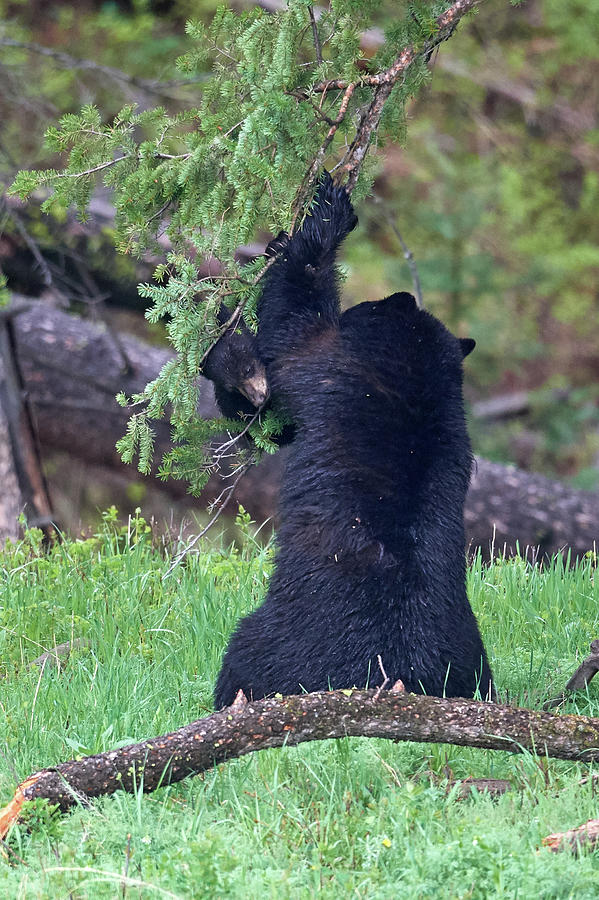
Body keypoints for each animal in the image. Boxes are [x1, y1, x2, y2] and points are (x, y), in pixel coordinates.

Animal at [213, 174, 494, 712]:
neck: (416, 376)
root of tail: (389, 676)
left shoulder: (329, 361)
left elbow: (290, 333)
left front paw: (318, 224)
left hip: (271, 640)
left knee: (241, 657)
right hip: (472, 660)